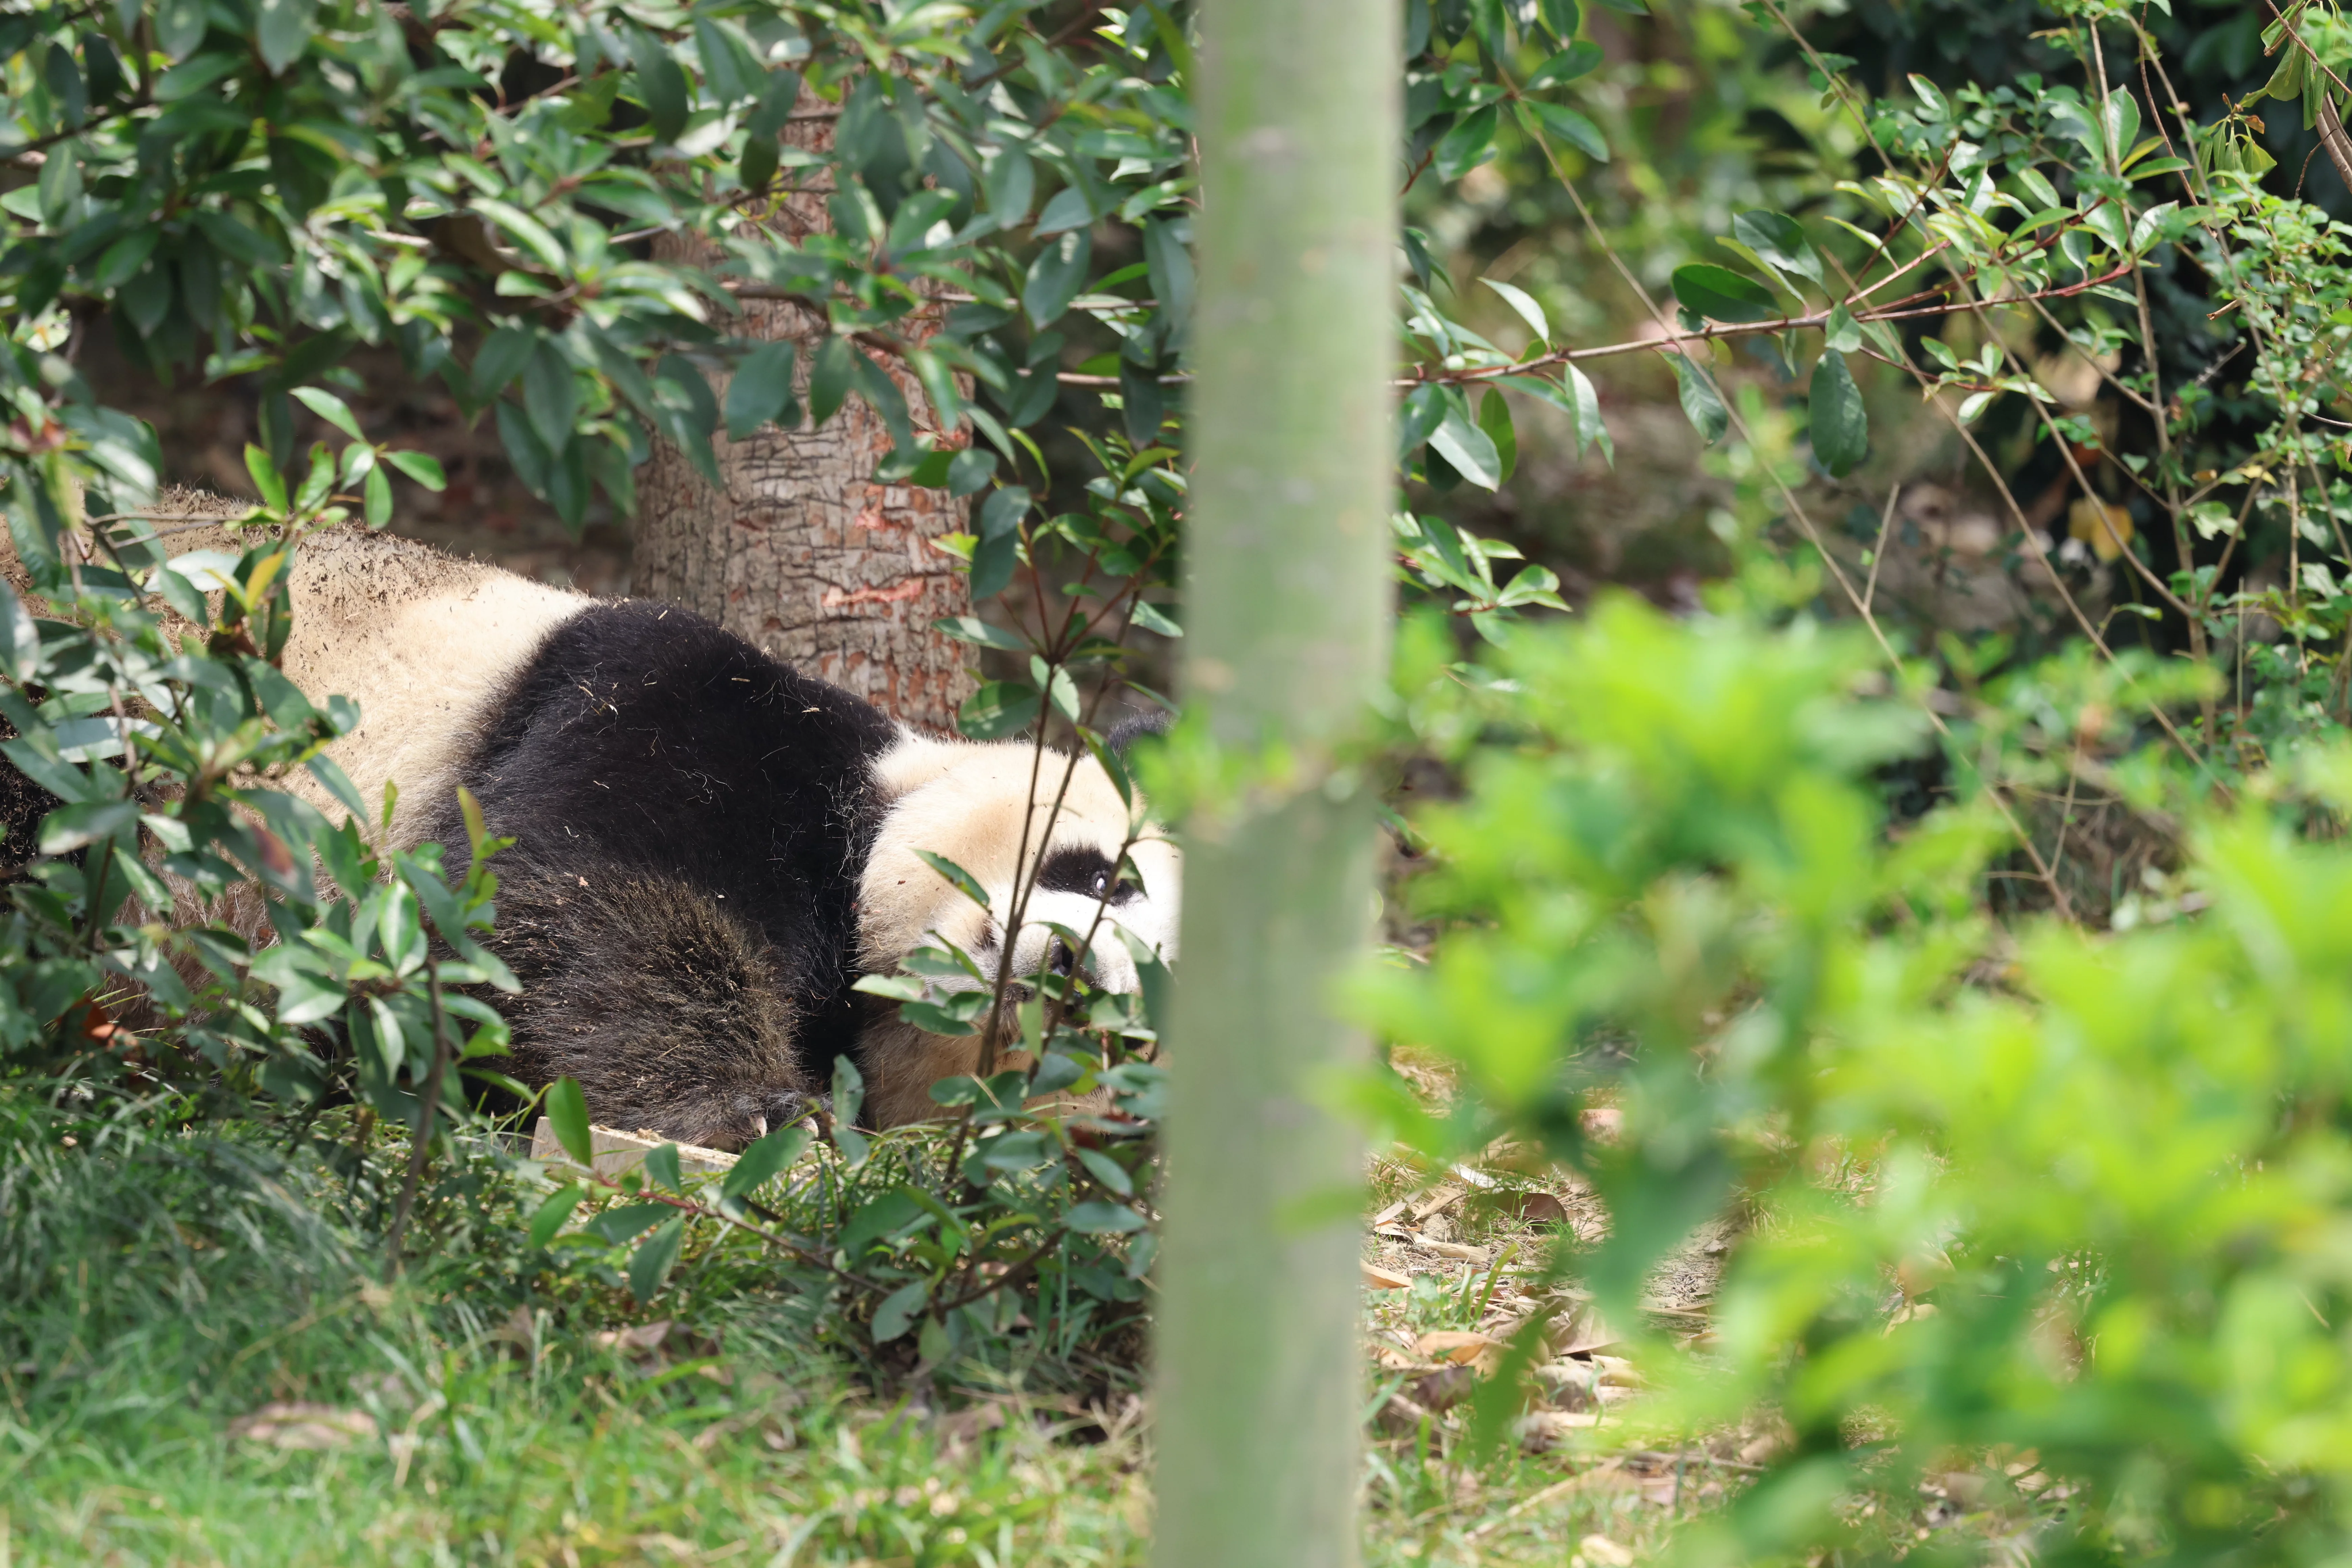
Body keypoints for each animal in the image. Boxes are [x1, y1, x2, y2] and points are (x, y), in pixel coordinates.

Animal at [22, 504, 1180, 1144]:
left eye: (1137, 1031)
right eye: (1104, 875)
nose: (1078, 975)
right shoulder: (686, 704)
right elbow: (570, 888)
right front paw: (745, 1113)